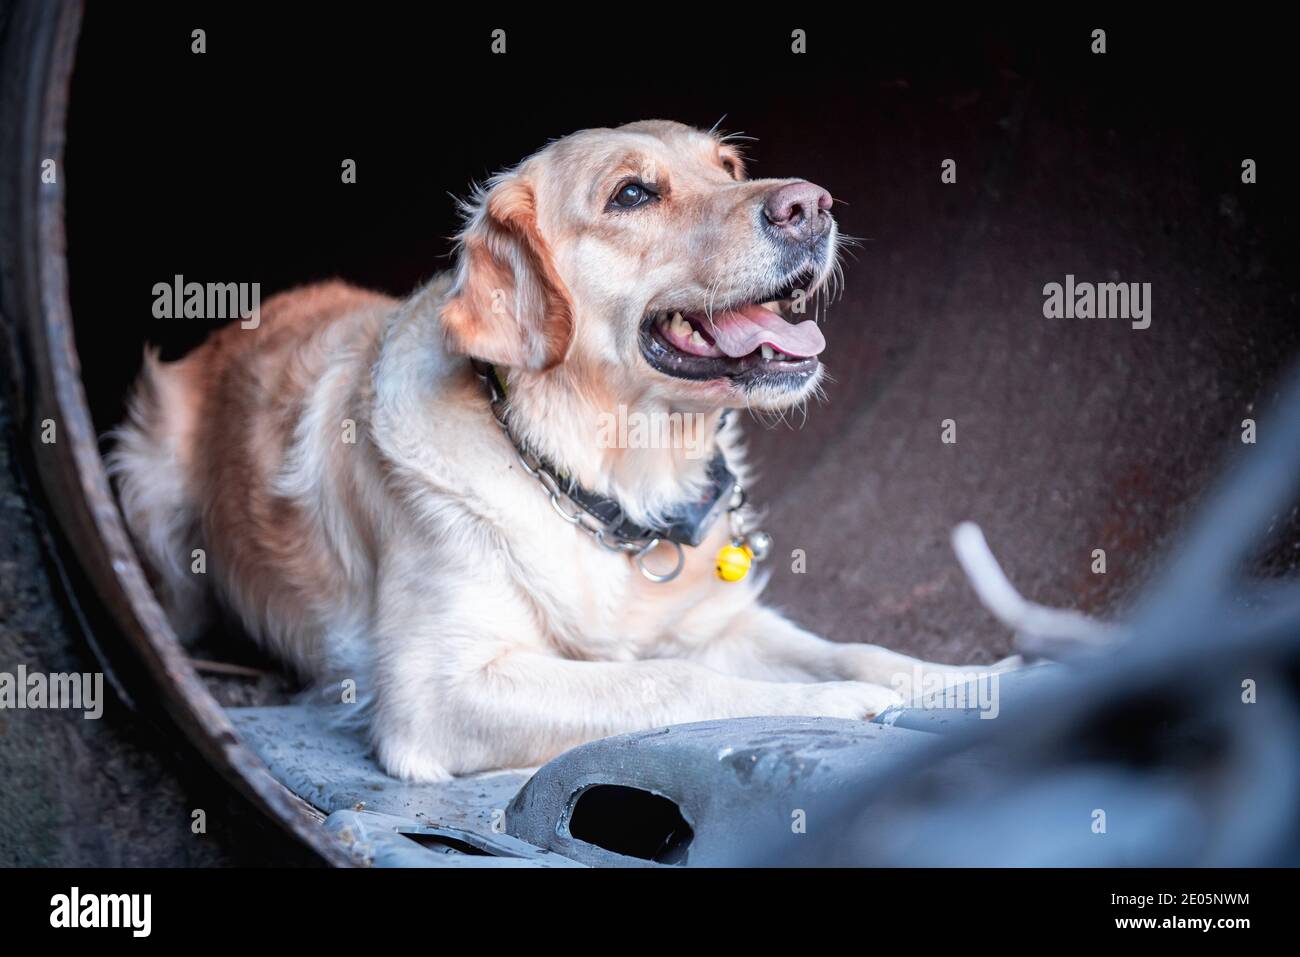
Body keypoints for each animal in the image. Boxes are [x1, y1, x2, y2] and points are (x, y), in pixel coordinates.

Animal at [111, 121, 1013, 780]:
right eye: (632, 193)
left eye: (727, 164)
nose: (812, 204)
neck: (602, 486)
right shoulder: (438, 691)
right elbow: (671, 680)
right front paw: (838, 705)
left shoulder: (717, 620)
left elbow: (848, 647)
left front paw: (968, 679)